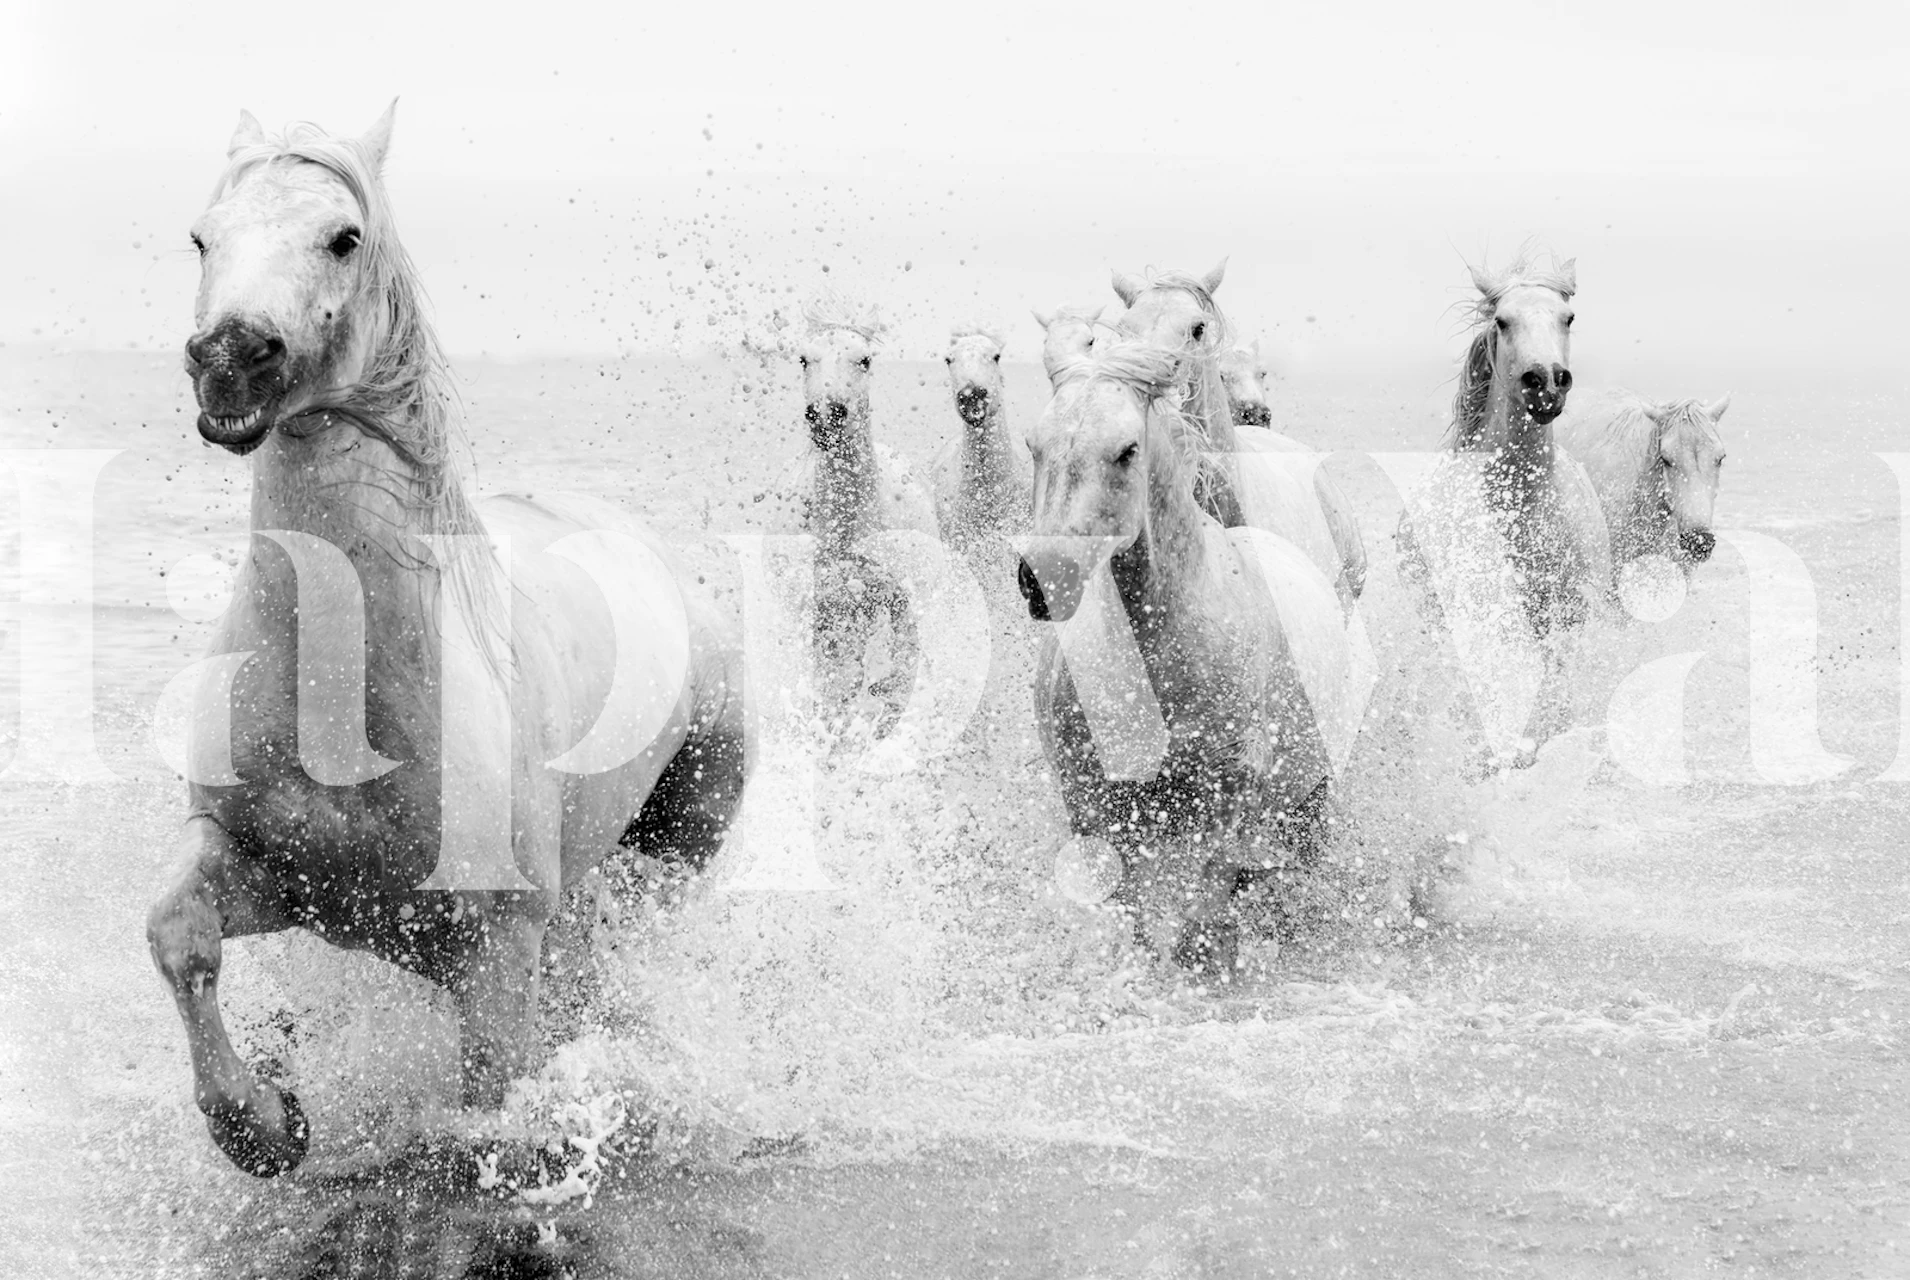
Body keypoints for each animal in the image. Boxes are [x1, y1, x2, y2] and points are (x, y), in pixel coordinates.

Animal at [147, 106, 750, 1177]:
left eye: (344, 236)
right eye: (201, 236)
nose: (229, 357)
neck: (344, 688)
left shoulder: (499, 945)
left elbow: (495, 1101)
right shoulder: (274, 869)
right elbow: (178, 932)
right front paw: (265, 1124)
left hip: (678, 847)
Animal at [770, 297, 937, 730]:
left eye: (864, 359)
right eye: (804, 358)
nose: (827, 414)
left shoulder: (898, 605)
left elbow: (900, 674)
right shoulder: (825, 613)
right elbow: (834, 690)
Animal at [1015, 339, 1360, 974]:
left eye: (1127, 450)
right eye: (1034, 445)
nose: (1044, 578)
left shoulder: (1231, 793)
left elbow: (1208, 900)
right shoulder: (1093, 800)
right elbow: (1133, 904)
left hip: (1313, 793)